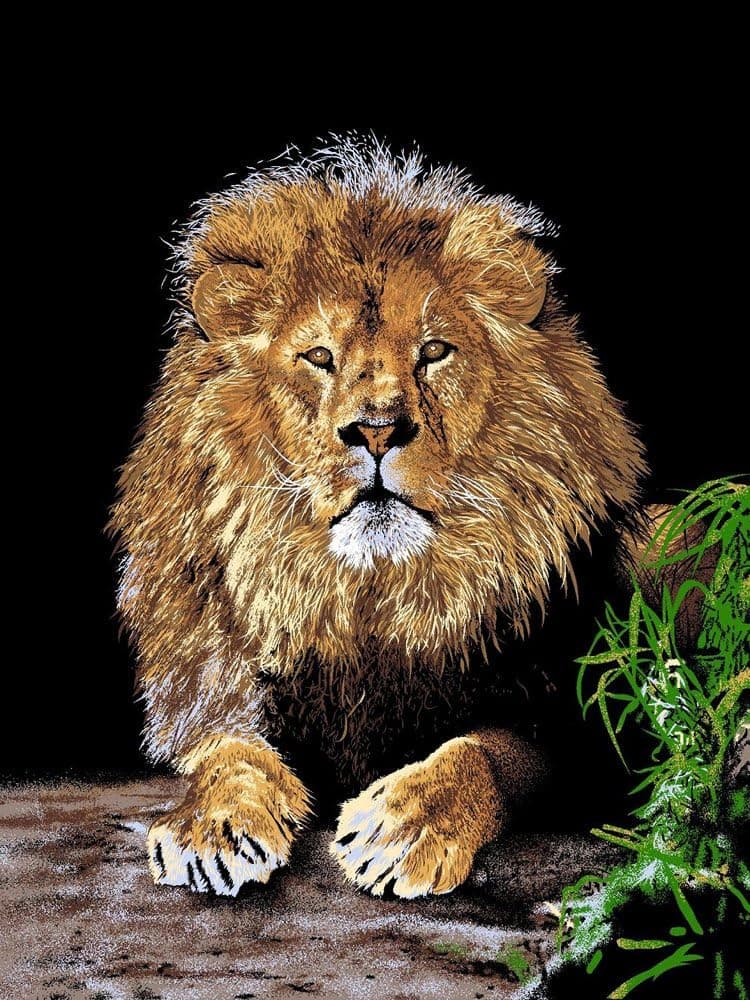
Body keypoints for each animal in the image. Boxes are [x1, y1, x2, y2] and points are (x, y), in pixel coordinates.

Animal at [110, 136, 651, 899]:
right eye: (318, 357)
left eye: (434, 352)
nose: (376, 430)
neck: (370, 596)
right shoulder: (220, 688)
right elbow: (229, 751)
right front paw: (213, 827)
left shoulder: (567, 718)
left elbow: (485, 749)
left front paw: (406, 826)